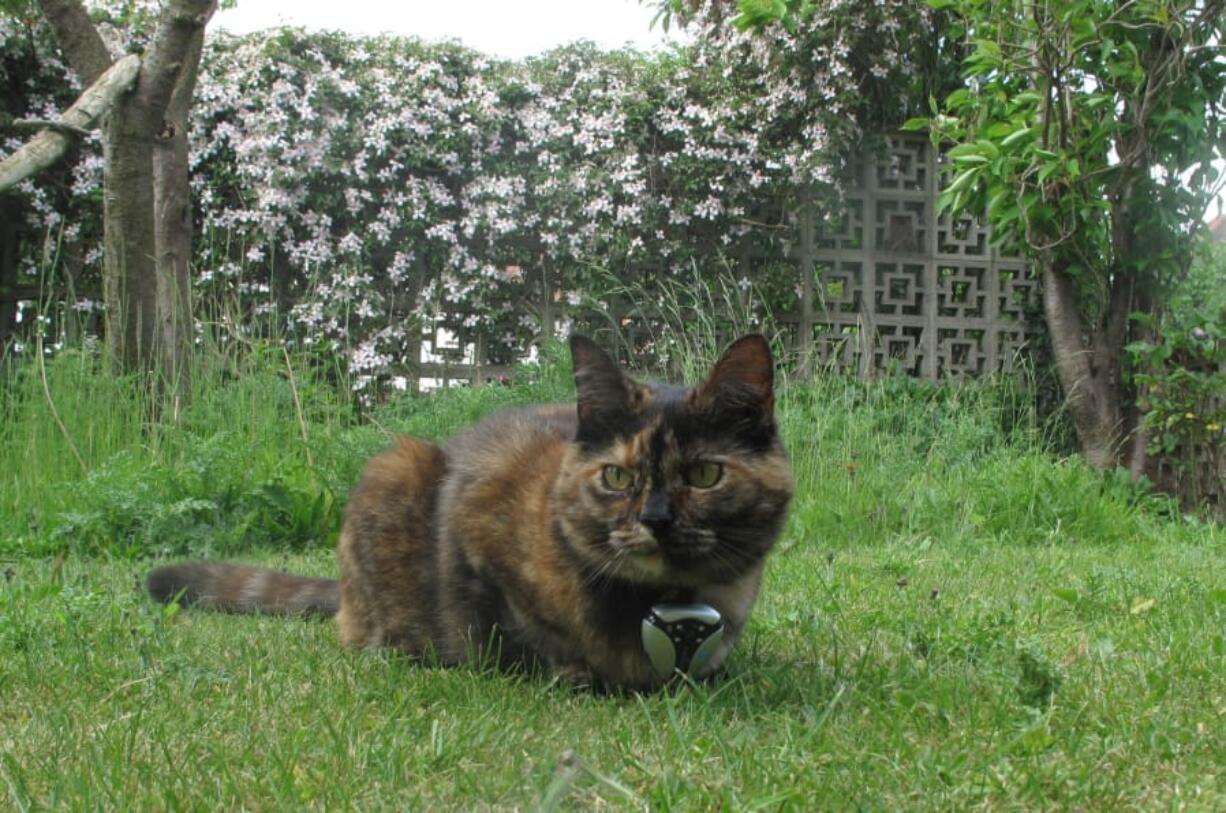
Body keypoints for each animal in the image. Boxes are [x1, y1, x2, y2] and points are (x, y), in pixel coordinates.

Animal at [145, 333, 794, 691]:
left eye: (704, 475)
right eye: (618, 477)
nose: (655, 520)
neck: (667, 603)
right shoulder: (479, 520)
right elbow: (518, 626)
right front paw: (571, 671)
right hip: (395, 466)